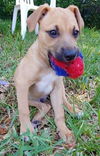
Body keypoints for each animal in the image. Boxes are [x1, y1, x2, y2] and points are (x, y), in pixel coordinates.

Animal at [14, 3, 84, 147]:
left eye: (75, 32)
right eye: (53, 32)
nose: (71, 56)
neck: (47, 66)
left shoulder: (56, 88)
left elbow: (60, 113)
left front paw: (64, 131)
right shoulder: (22, 84)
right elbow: (23, 110)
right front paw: (26, 131)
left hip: (60, 88)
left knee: (61, 101)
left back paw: (73, 110)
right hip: (27, 97)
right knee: (45, 105)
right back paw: (35, 120)